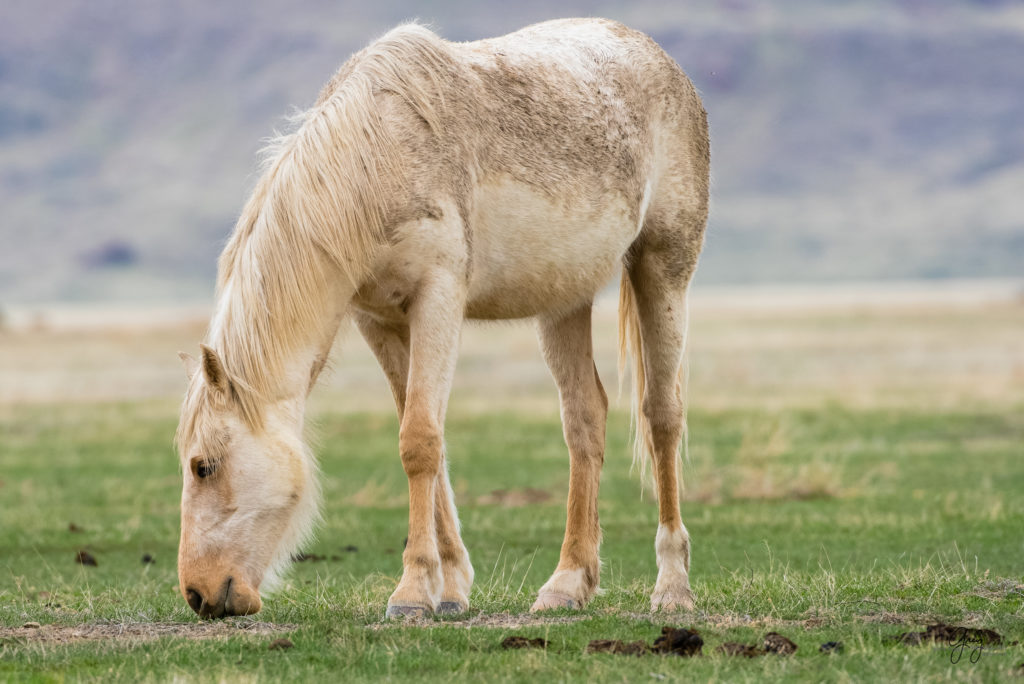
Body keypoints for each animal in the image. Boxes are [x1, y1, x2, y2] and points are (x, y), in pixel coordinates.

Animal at [174, 17, 704, 618]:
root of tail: (657, 57)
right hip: (564, 300)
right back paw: (568, 583)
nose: (198, 594)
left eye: (204, 466)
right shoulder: (379, 320)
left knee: (662, 416)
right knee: (585, 418)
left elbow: (420, 440)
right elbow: (430, 440)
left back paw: (672, 587)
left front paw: (410, 594)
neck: (378, 153)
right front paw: (449, 589)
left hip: (664, 267)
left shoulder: (438, 299)